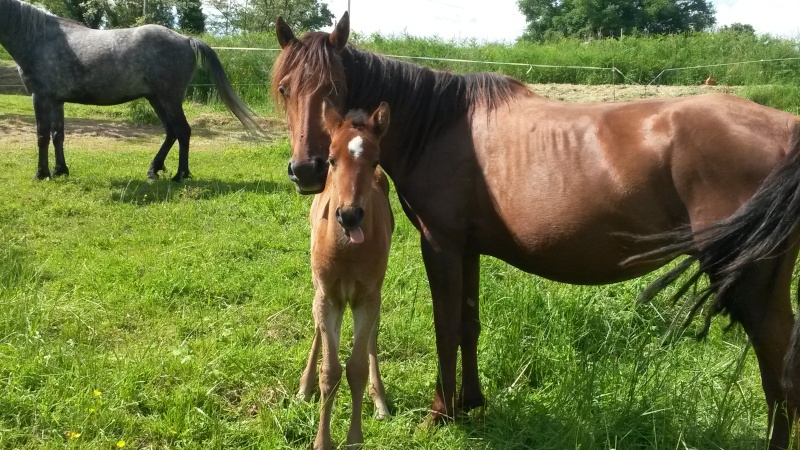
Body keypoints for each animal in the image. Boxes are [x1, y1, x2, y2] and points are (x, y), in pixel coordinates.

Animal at [0, 0, 260, 181]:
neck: (40, 39)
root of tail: (186, 39)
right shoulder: (56, 101)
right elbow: (58, 136)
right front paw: (60, 170)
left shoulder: (41, 97)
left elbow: (42, 136)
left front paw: (41, 174)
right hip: (156, 98)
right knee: (171, 132)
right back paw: (154, 170)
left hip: (169, 98)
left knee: (183, 131)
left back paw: (180, 175)